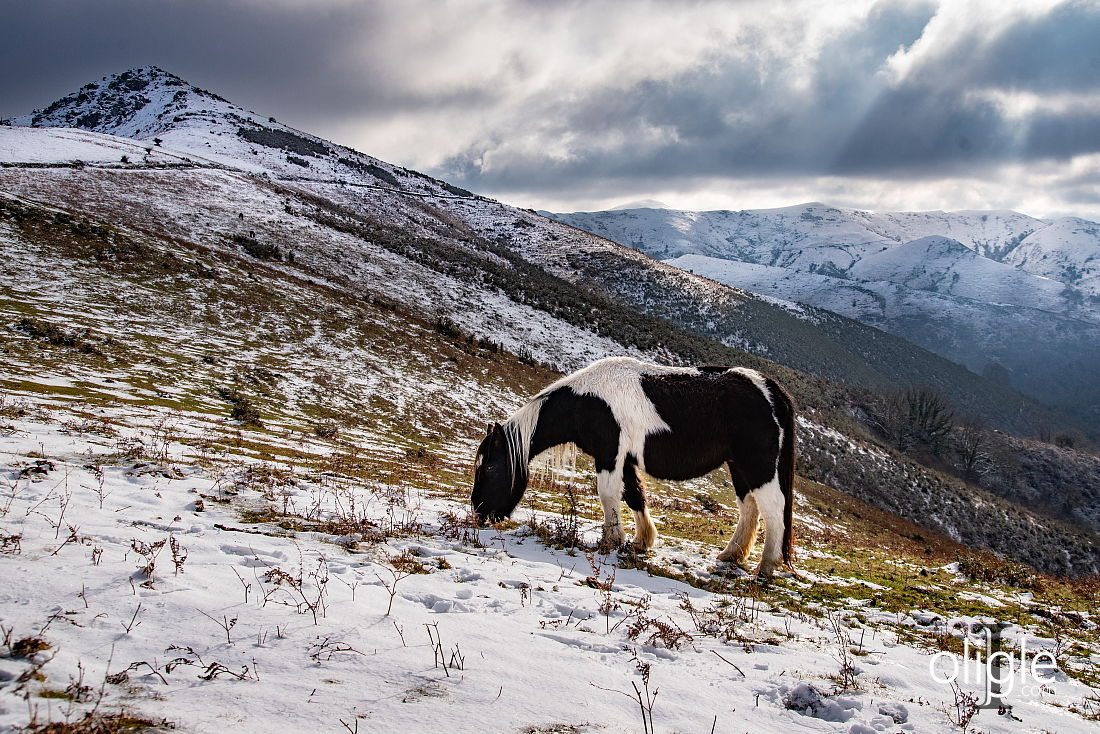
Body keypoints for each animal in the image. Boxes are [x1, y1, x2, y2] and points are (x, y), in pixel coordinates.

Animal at [468, 358, 796, 576]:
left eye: (490, 469)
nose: (480, 513)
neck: (586, 402)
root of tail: (771, 389)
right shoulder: (624, 459)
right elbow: (634, 495)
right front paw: (641, 541)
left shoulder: (609, 455)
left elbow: (608, 495)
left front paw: (610, 541)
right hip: (739, 466)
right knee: (749, 508)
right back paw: (732, 555)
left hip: (759, 465)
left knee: (773, 509)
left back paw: (765, 567)